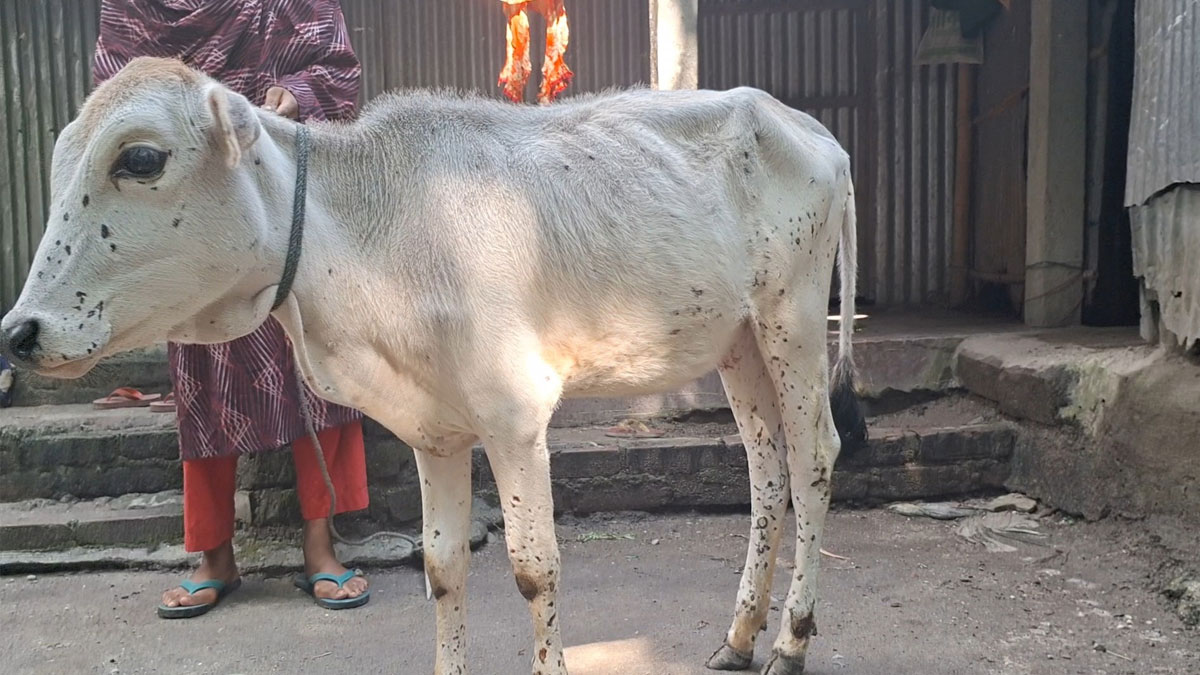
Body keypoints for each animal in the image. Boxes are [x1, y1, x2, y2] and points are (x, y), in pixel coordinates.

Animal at [0, 57, 866, 675]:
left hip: (792, 320)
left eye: (141, 158)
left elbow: (534, 569)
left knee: (815, 455)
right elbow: (444, 567)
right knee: (766, 470)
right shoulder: (435, 432)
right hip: (737, 341)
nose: (19, 330)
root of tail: (807, 128)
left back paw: (790, 640)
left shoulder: (516, 420)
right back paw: (740, 635)